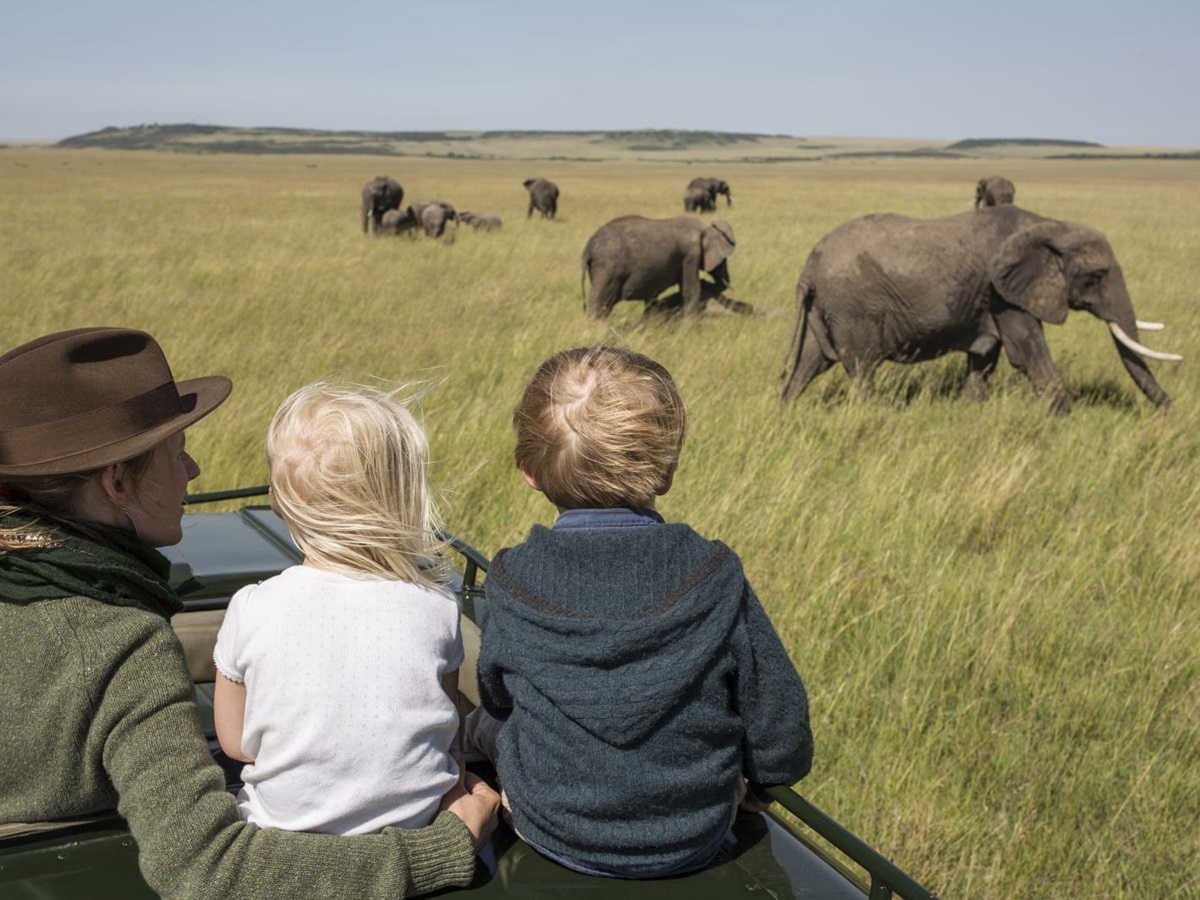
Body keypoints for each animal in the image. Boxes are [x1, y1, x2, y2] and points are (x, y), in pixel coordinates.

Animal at [581, 215, 735, 318]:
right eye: (723, 260)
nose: (705, 281)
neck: (704, 226)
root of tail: (588, 247)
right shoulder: (690, 256)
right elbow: (690, 291)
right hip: (607, 269)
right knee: (600, 302)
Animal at [780, 205, 1180, 415]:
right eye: (1096, 277)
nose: (1171, 410)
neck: (1049, 226)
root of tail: (808, 267)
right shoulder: (1004, 293)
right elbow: (1029, 353)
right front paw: (1066, 422)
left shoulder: (993, 298)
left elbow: (985, 357)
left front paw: (968, 411)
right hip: (853, 307)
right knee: (861, 368)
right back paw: (870, 415)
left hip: (828, 307)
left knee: (809, 363)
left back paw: (786, 411)